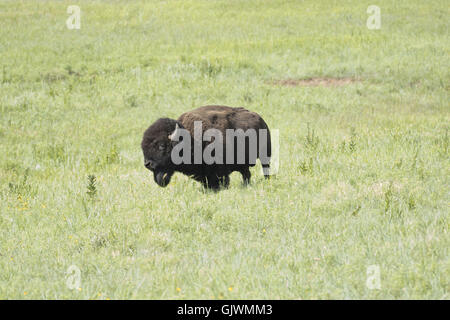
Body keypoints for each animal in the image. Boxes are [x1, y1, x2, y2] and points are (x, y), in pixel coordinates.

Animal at [142, 105, 270, 190]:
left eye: (162, 145)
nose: (147, 164)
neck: (190, 138)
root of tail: (260, 118)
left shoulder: (221, 171)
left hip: (266, 155)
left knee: (265, 169)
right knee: (246, 174)